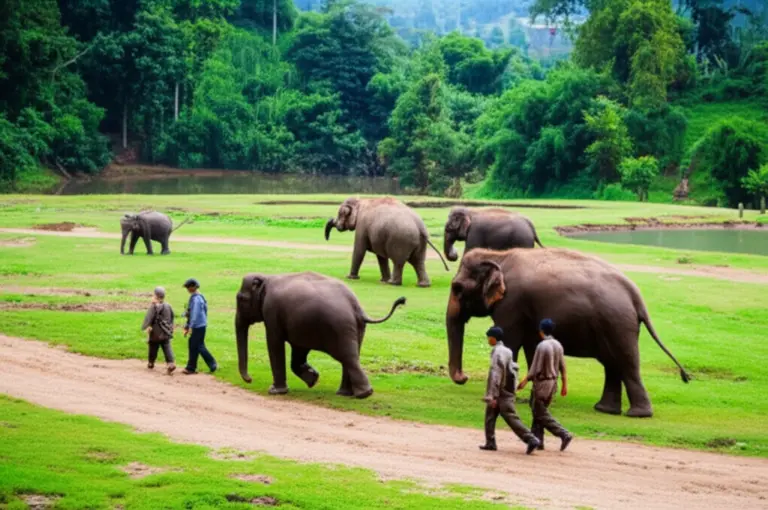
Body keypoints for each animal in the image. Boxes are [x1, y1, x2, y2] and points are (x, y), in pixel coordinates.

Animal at [235, 272, 406, 399]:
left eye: (241, 299)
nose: (250, 379)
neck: (267, 277)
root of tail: (357, 308)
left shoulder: (271, 311)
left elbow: (274, 342)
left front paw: (275, 391)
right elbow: (298, 350)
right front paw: (313, 378)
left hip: (339, 328)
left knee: (348, 357)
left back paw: (363, 394)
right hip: (357, 328)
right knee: (351, 356)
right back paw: (345, 394)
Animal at [445, 247, 690, 418]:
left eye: (457, 288)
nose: (464, 377)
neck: (499, 255)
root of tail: (635, 294)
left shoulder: (511, 303)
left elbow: (511, 344)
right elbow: (533, 348)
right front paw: (534, 399)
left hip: (617, 323)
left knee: (626, 363)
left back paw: (637, 414)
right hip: (612, 325)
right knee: (612, 364)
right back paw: (605, 410)